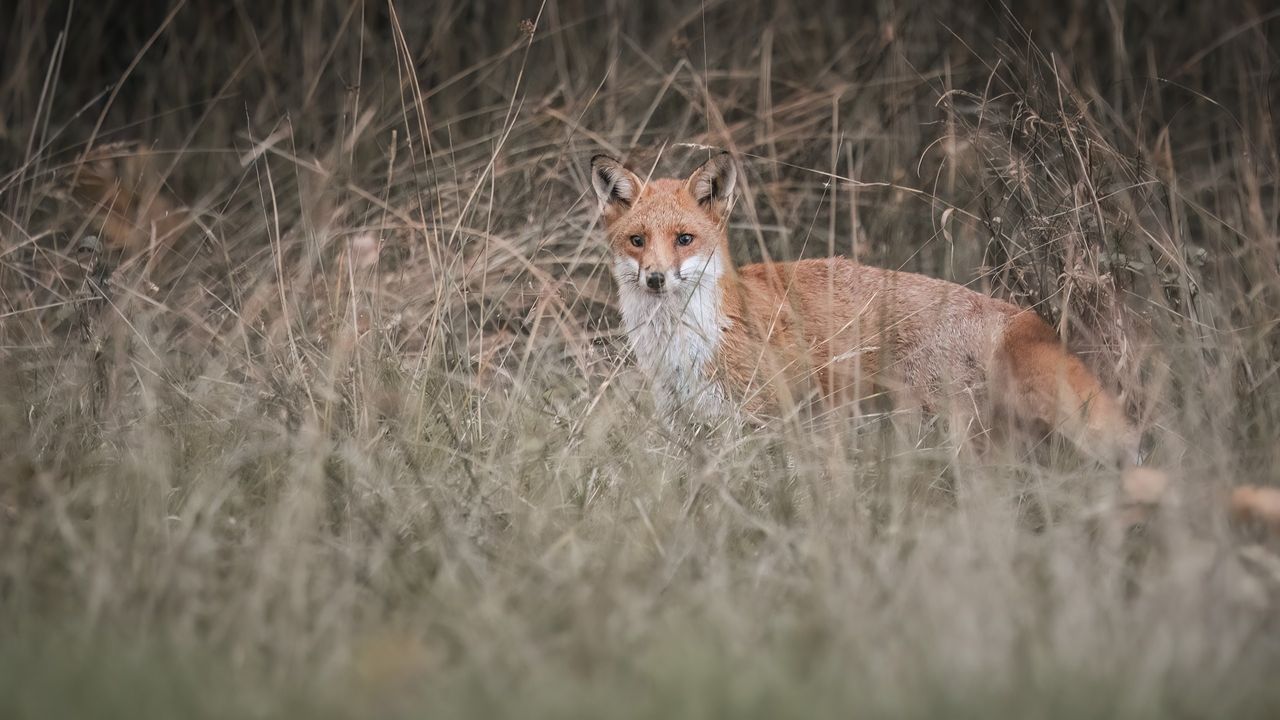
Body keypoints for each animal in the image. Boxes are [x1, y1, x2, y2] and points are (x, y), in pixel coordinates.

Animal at [590, 150, 1170, 500]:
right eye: (637, 241)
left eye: (684, 239)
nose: (656, 278)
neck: (686, 341)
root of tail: (1022, 317)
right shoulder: (688, 426)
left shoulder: (761, 423)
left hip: (943, 433)